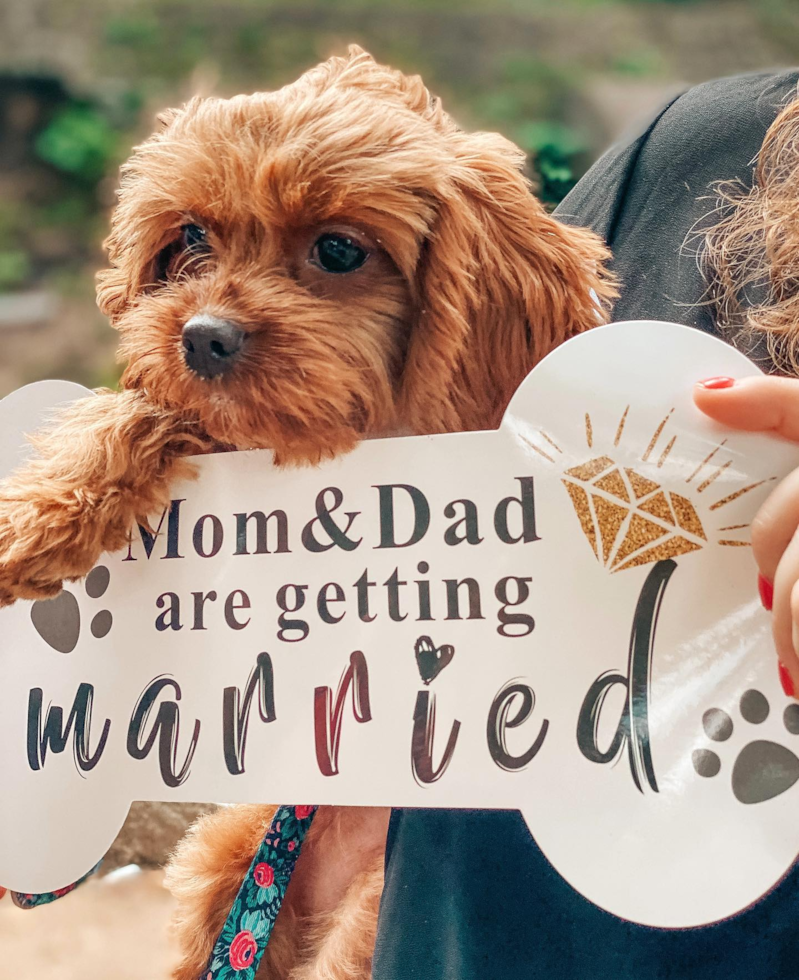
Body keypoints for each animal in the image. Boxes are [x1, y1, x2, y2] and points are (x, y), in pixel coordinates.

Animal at [0, 47, 616, 980]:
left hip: (357, 905)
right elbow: (141, 410)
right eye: (190, 239)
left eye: (337, 249)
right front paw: (36, 520)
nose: (202, 337)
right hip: (232, 860)